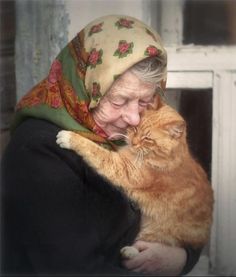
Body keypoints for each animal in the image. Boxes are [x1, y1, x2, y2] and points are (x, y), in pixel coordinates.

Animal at [56, 97, 214, 256]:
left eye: (147, 139)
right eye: (136, 128)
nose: (133, 142)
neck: (166, 159)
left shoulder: (123, 169)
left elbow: (95, 151)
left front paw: (70, 137)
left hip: (157, 232)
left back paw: (129, 252)